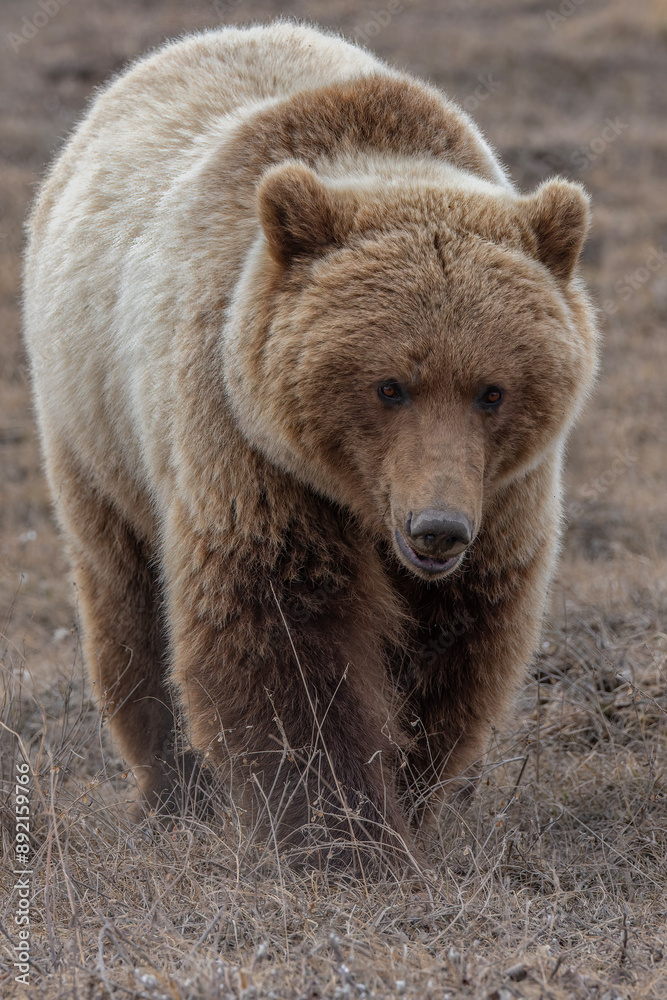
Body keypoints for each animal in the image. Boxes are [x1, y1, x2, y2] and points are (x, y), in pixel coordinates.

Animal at [24, 22, 598, 867]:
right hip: (95, 426)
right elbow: (284, 627)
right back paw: (171, 795)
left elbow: (451, 642)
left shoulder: (502, 493)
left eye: (492, 390)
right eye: (388, 385)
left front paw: (406, 795)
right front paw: (339, 835)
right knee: (127, 602)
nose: (436, 528)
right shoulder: (248, 445)